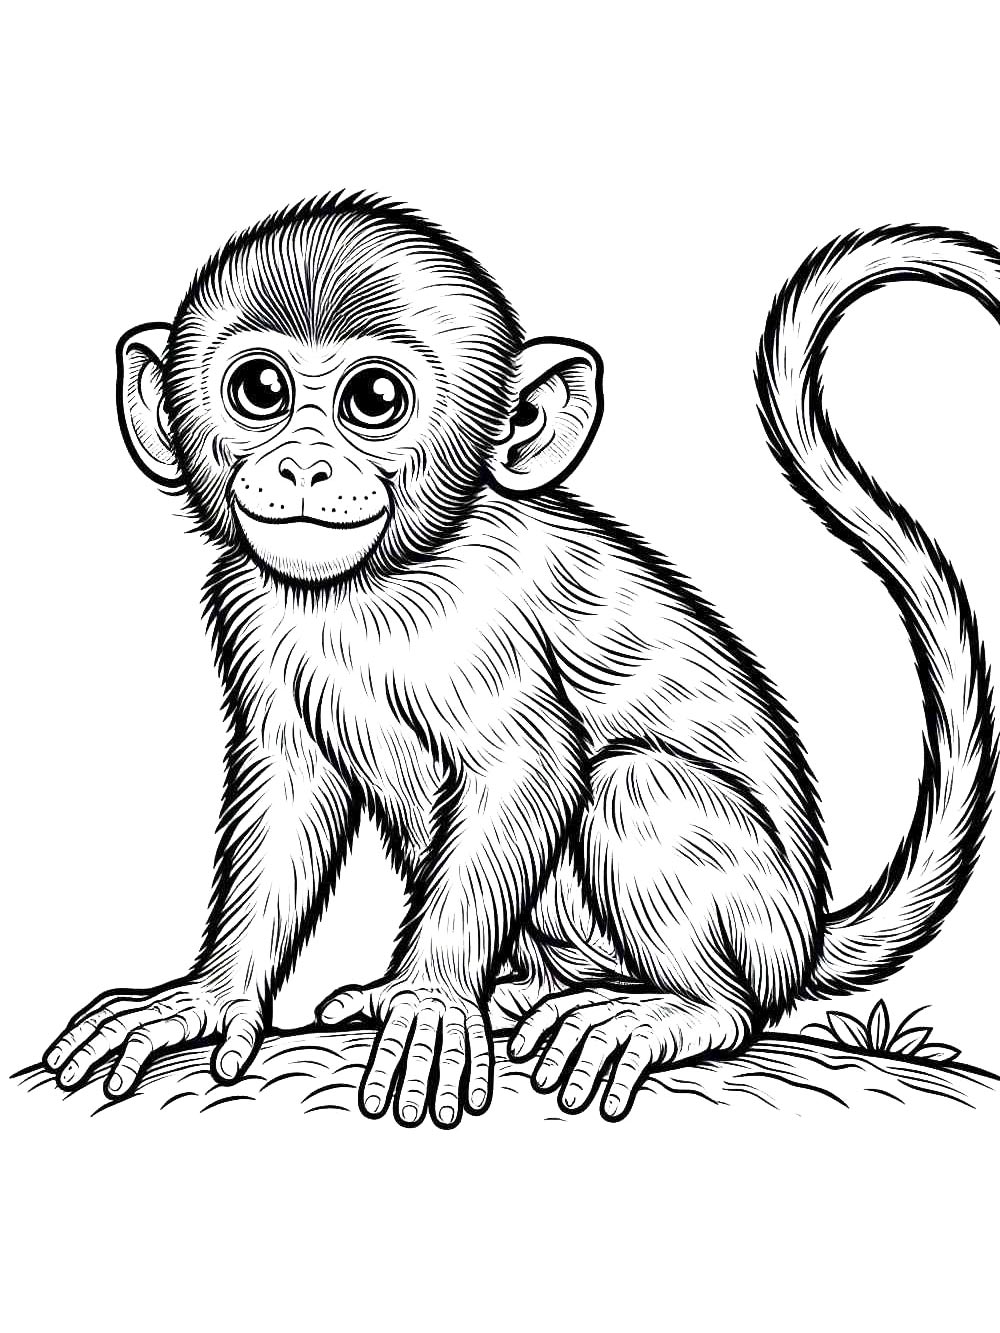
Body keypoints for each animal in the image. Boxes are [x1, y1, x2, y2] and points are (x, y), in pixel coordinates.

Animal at [44, 196, 995, 1127]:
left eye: (374, 399)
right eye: (261, 390)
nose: (305, 465)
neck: (366, 588)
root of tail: (807, 935)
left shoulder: (477, 615)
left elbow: (530, 766)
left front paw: (430, 999)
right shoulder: (250, 606)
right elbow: (289, 787)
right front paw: (207, 998)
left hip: (759, 929)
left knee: (638, 787)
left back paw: (686, 1007)